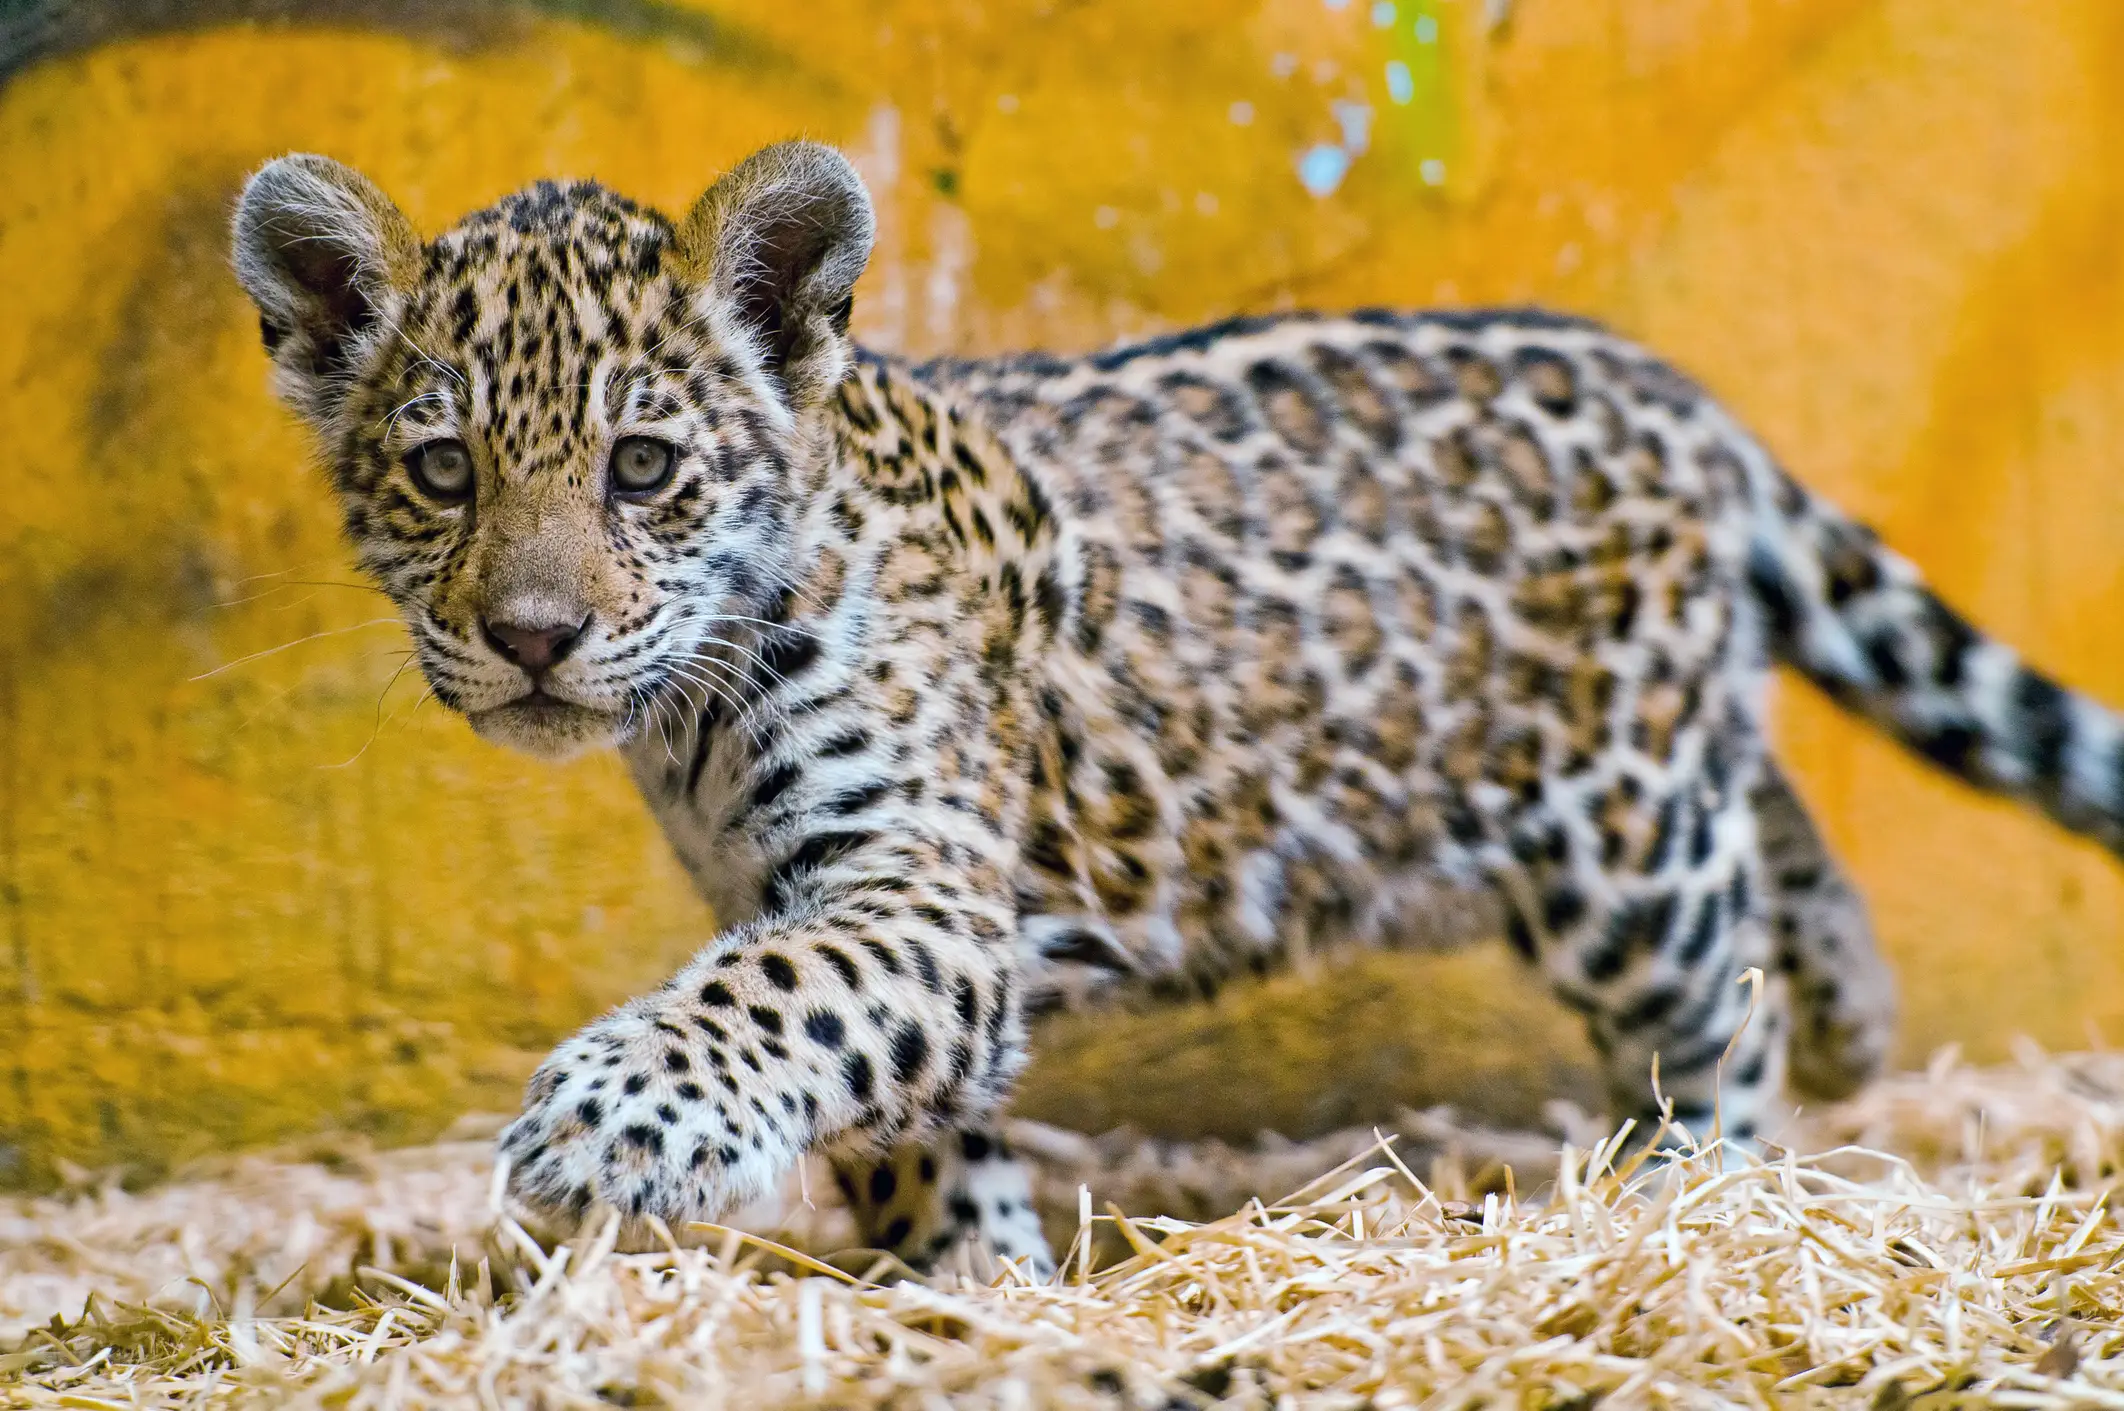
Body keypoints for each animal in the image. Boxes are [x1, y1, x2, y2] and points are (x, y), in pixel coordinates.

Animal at [231, 140, 2124, 1278]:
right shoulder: (832, 898)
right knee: (1776, 822)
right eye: (442, 472)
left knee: (1711, 998)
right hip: (1663, 763)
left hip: (1620, 842)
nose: (532, 636)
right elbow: (898, 1103)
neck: (692, 710)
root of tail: (1677, 397)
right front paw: (970, 1291)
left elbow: (778, 996)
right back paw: (1855, 1021)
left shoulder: (913, 882)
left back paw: (1700, 1200)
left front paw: (608, 1125)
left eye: (642, 467)